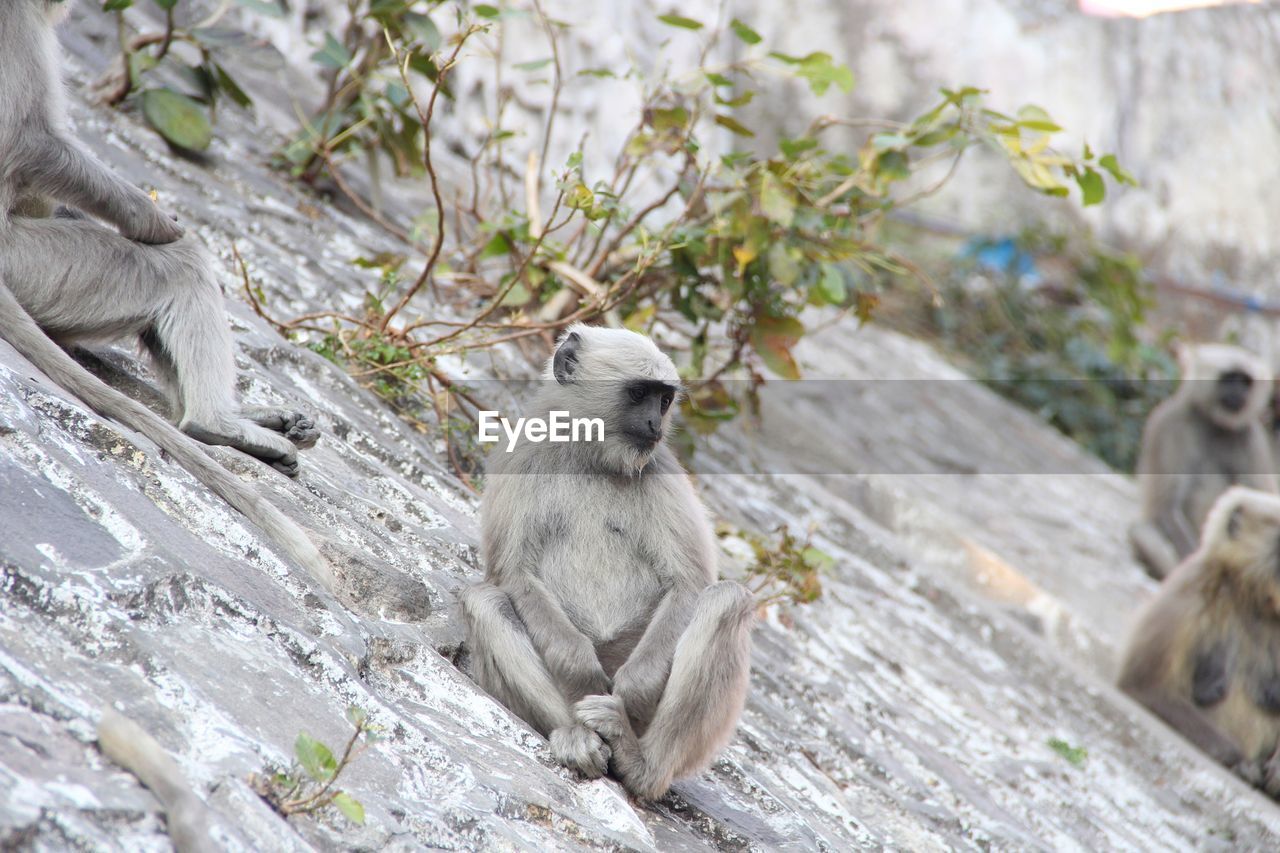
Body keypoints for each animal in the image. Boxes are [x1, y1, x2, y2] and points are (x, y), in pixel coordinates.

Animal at [463, 320, 752, 799]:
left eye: (664, 399)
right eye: (638, 394)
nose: (655, 423)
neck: (590, 455)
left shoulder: (660, 467)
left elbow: (689, 584)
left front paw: (630, 693)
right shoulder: (522, 452)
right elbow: (513, 573)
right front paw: (582, 673)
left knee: (725, 600)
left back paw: (638, 761)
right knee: (484, 600)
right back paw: (579, 737)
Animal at [1131, 343, 1269, 578]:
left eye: (1245, 381)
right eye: (1230, 378)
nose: (1238, 392)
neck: (1215, 423)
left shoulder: (1250, 437)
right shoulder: (1172, 423)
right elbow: (1167, 507)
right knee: (1143, 532)